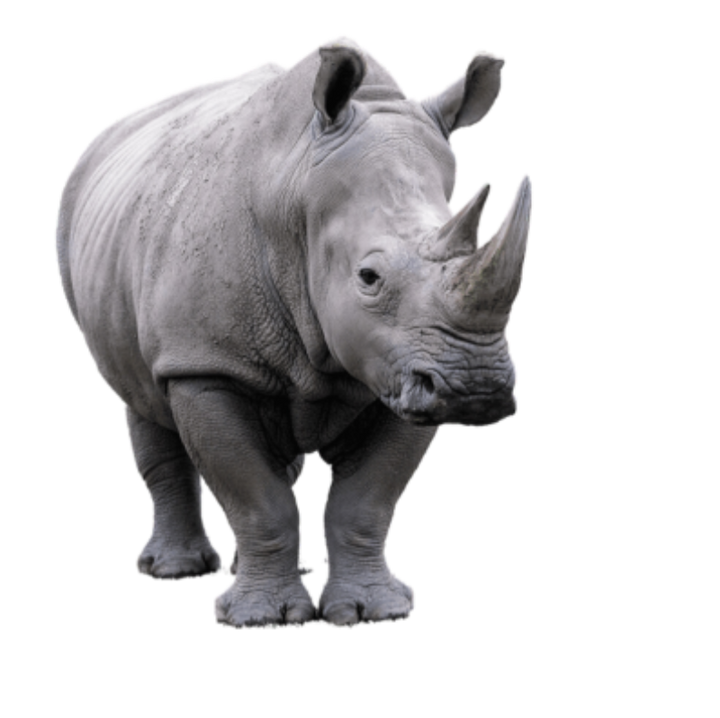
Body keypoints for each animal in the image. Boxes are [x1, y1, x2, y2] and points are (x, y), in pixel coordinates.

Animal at [53, 33, 533, 629]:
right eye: (368, 277)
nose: (477, 386)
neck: (298, 198)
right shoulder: (206, 363)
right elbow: (254, 495)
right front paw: (262, 619)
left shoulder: (403, 365)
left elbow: (367, 499)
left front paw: (373, 612)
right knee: (139, 397)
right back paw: (173, 571)